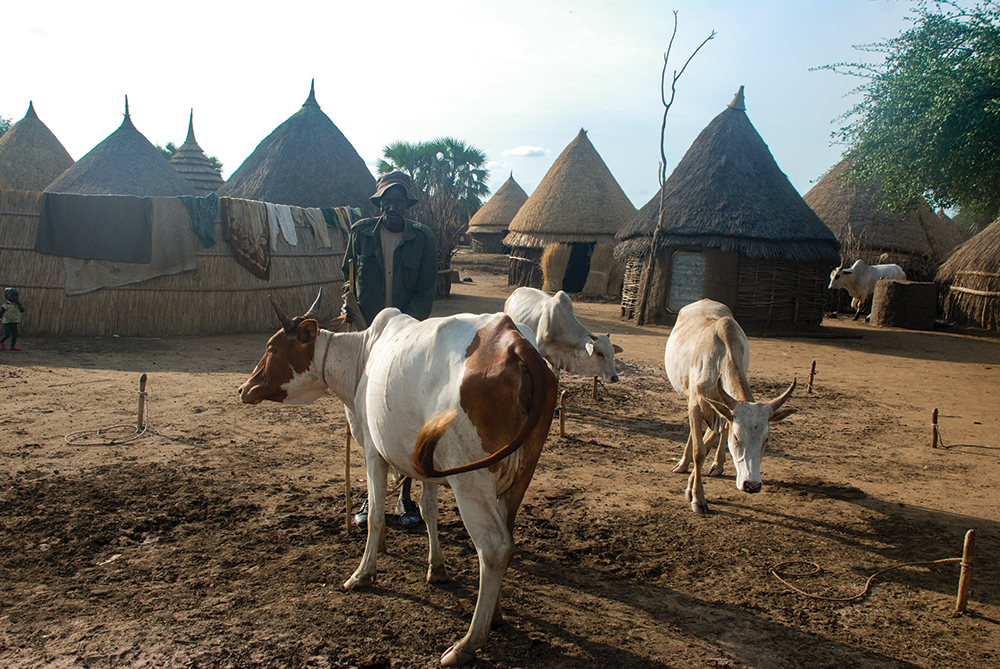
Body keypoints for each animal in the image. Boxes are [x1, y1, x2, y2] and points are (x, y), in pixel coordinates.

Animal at [239, 294, 560, 664]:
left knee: (494, 548)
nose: (244, 388)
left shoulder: (373, 450)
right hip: (518, 476)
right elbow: (427, 510)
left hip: (471, 481)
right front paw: (436, 568)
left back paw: (467, 643)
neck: (362, 358)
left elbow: (377, 515)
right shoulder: (428, 463)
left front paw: (363, 573)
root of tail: (516, 343)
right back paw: (495, 615)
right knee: (507, 539)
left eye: (272, 348)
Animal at [664, 300, 796, 516]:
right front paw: (698, 498)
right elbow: (699, 451)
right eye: (737, 438)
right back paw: (683, 463)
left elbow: (707, 445)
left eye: (767, 439)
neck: (720, 358)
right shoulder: (696, 406)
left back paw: (717, 466)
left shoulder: (722, 410)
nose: (752, 485)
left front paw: (691, 489)